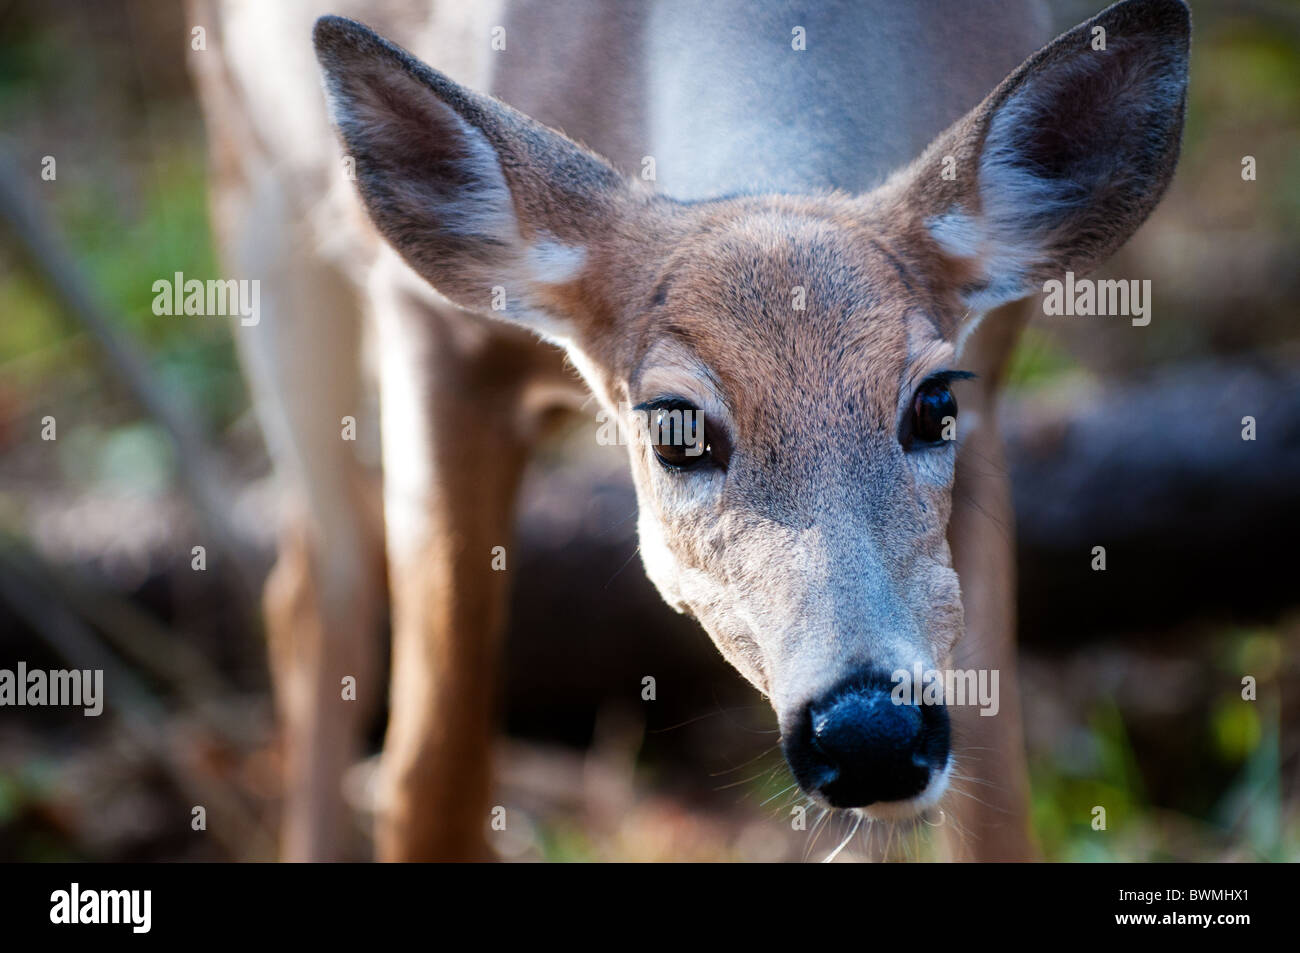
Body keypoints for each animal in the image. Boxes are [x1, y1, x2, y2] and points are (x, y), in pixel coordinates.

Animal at [188, 0, 1190, 858]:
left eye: (933, 403)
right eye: (677, 428)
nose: (869, 733)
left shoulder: (993, 380)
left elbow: (1001, 804)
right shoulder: (434, 334)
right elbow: (429, 781)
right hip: (255, 189)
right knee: (322, 582)